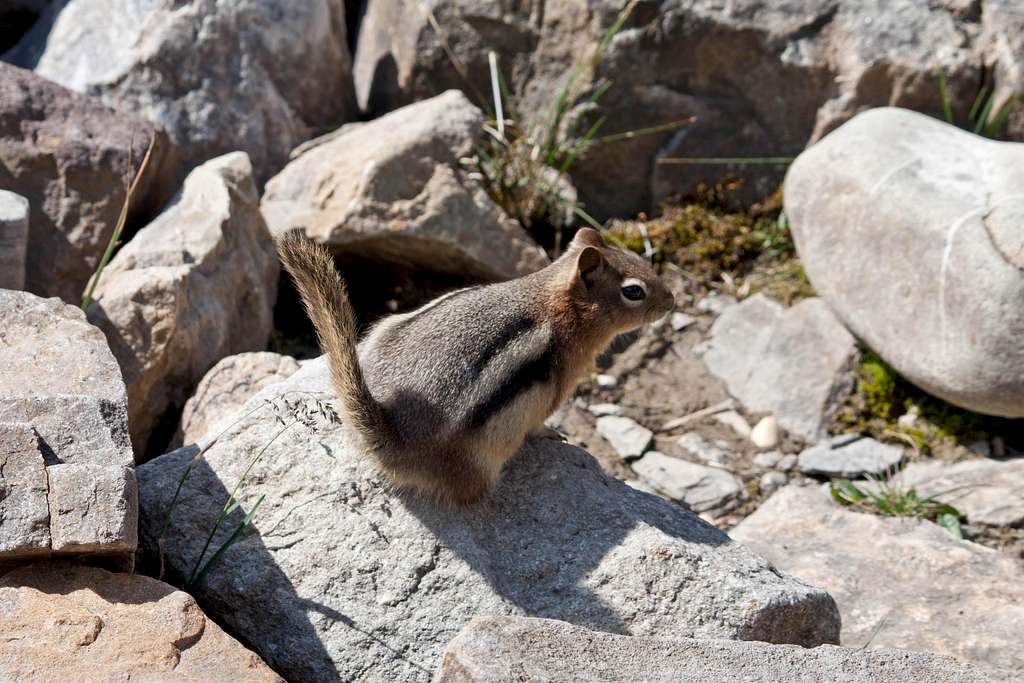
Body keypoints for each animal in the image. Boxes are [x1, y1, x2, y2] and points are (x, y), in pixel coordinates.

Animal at [278, 232, 671, 505]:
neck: (554, 302)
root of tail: (391, 434)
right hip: (480, 462)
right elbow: (539, 424)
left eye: (638, 258)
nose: (673, 300)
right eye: (634, 292)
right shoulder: (553, 393)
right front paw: (553, 434)